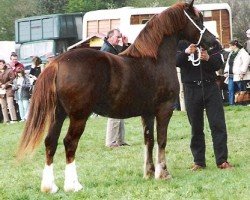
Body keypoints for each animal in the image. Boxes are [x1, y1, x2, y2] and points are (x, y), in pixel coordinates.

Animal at [17, 0, 217, 194]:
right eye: (198, 19)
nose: (213, 41)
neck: (155, 60)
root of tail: (57, 62)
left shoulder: (147, 113)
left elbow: (149, 140)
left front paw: (149, 172)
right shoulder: (164, 109)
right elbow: (161, 140)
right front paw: (163, 173)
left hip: (57, 115)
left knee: (51, 142)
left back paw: (49, 187)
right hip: (79, 116)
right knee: (70, 142)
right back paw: (73, 185)